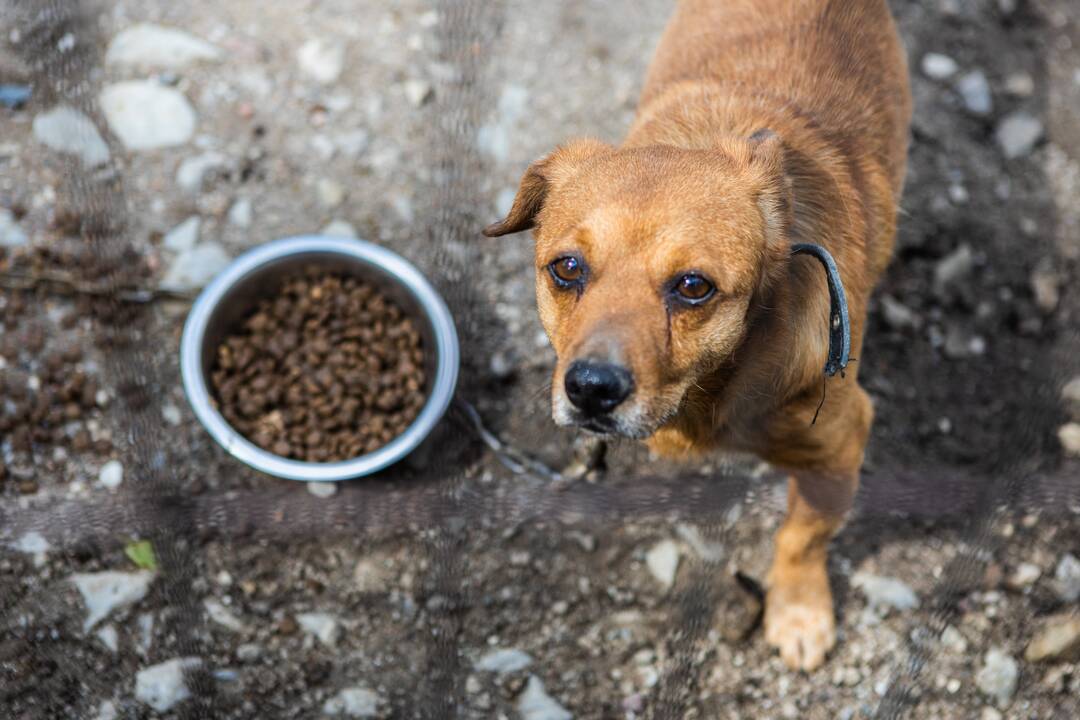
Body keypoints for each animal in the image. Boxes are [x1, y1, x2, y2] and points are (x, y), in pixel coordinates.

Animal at [490, 1, 911, 677]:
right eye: (567, 268)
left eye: (693, 286)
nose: (592, 390)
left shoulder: (839, 446)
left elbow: (802, 538)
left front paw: (798, 612)